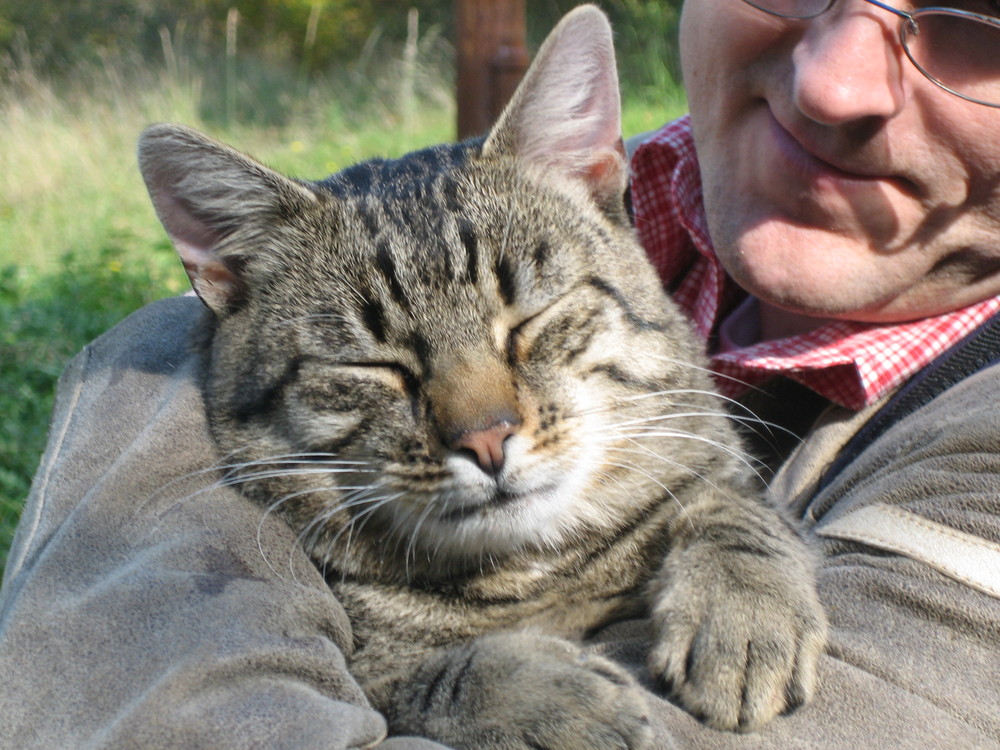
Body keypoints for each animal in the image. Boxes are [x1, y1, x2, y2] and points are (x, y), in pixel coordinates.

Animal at [139, 7, 828, 750]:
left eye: (530, 318)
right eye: (373, 363)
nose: (487, 439)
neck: (533, 571)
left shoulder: (711, 460)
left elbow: (734, 508)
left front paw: (744, 612)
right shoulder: (374, 672)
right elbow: (434, 676)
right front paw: (563, 702)